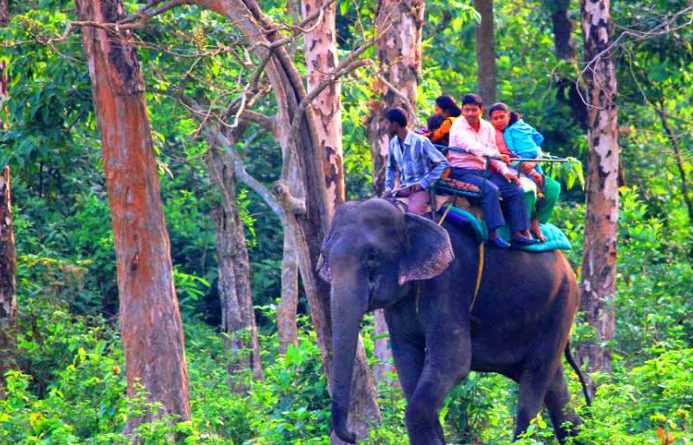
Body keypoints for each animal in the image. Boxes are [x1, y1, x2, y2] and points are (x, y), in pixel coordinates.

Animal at [318, 199, 588, 444]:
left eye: (372, 256)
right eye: (324, 256)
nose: (353, 436)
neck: (407, 214)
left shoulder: (450, 281)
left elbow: (454, 360)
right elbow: (407, 360)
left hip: (562, 305)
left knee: (535, 378)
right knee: (554, 385)